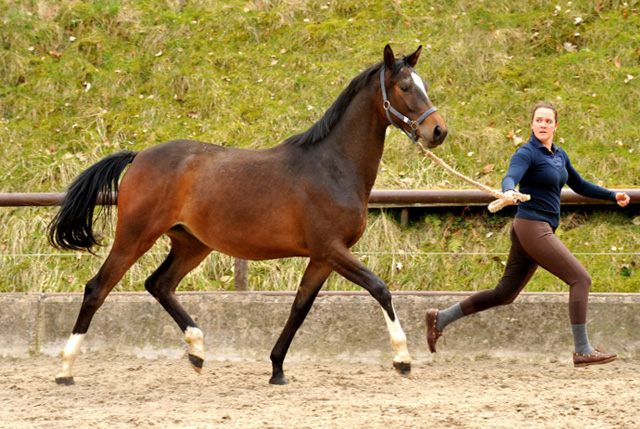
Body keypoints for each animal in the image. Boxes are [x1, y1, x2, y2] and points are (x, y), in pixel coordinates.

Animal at [47, 45, 448, 386]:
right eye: (405, 86)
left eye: (424, 86)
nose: (438, 131)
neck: (332, 166)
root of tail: (139, 156)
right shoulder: (332, 249)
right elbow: (379, 288)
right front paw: (402, 359)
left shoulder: (321, 258)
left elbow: (299, 308)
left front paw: (277, 369)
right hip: (135, 236)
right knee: (97, 288)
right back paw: (65, 370)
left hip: (191, 244)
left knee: (158, 284)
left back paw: (197, 351)